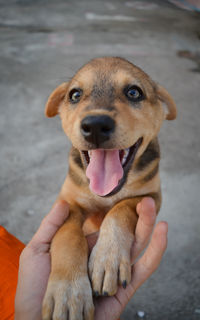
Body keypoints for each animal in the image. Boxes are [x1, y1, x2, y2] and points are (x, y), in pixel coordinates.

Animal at [42, 57, 177, 320]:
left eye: (134, 92)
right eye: (75, 95)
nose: (95, 125)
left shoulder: (150, 196)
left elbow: (120, 210)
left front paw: (108, 260)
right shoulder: (68, 202)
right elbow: (67, 237)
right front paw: (68, 293)